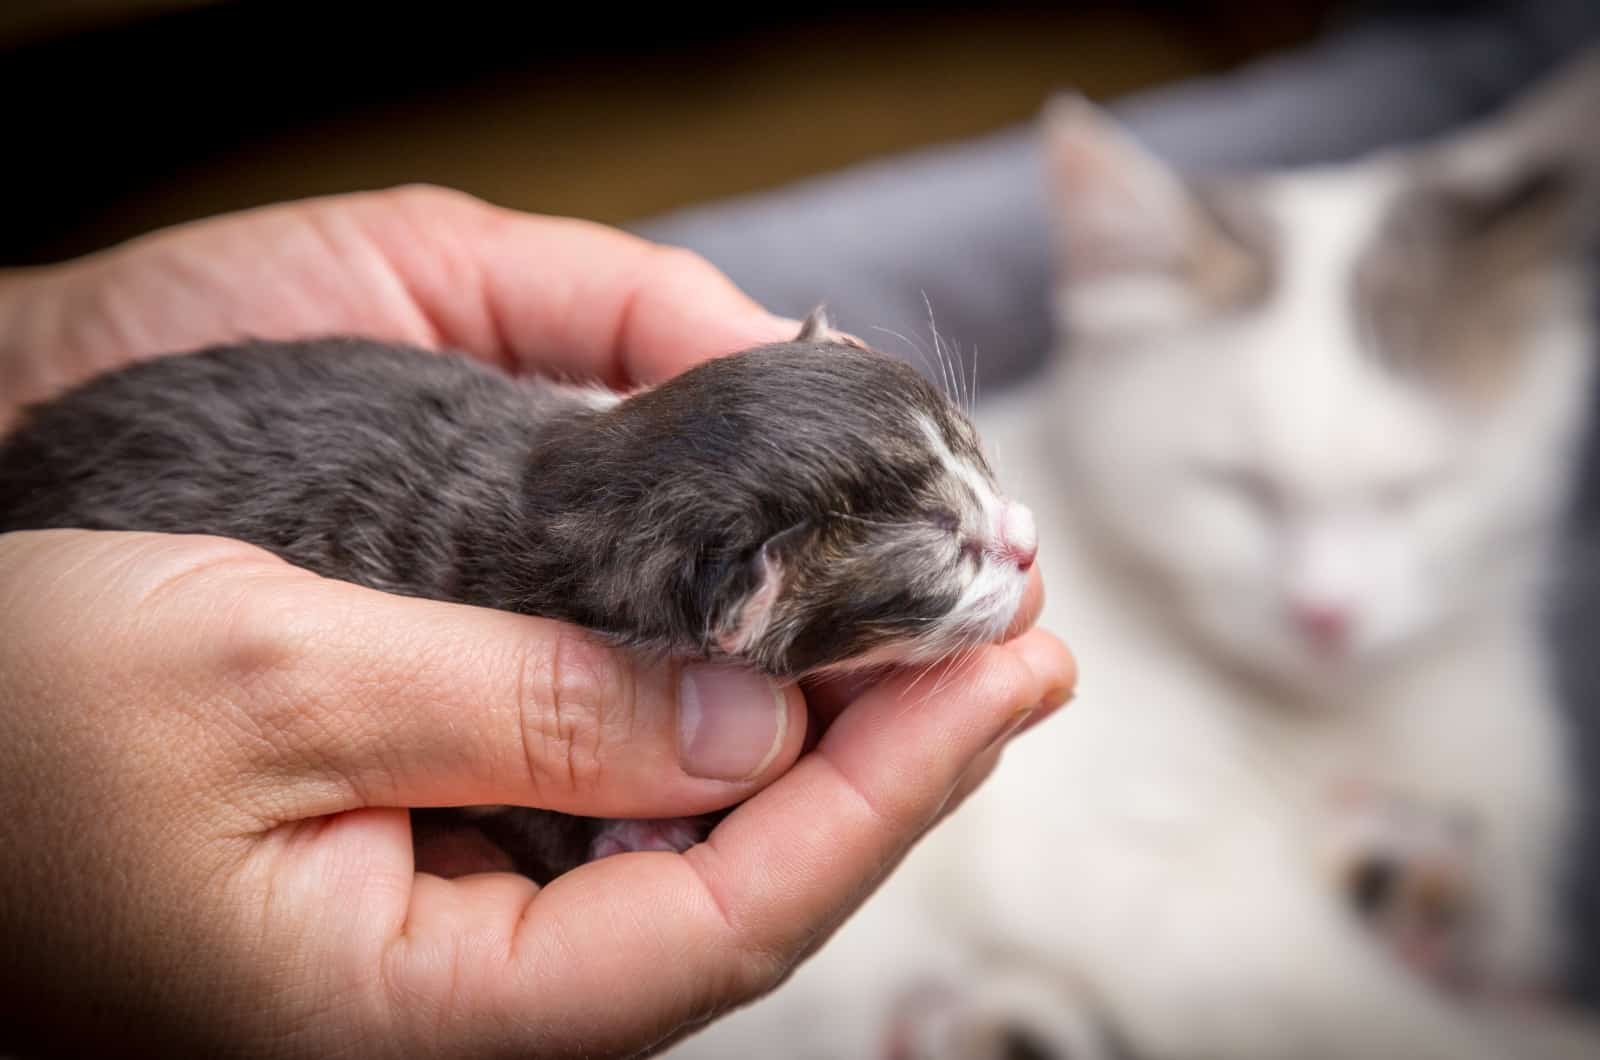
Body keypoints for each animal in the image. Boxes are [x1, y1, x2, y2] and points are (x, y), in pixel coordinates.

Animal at [0, 312, 1036, 883]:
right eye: (945, 549)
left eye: (975, 458)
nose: (1025, 542)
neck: (576, 492)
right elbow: (513, 804)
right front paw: (635, 831)